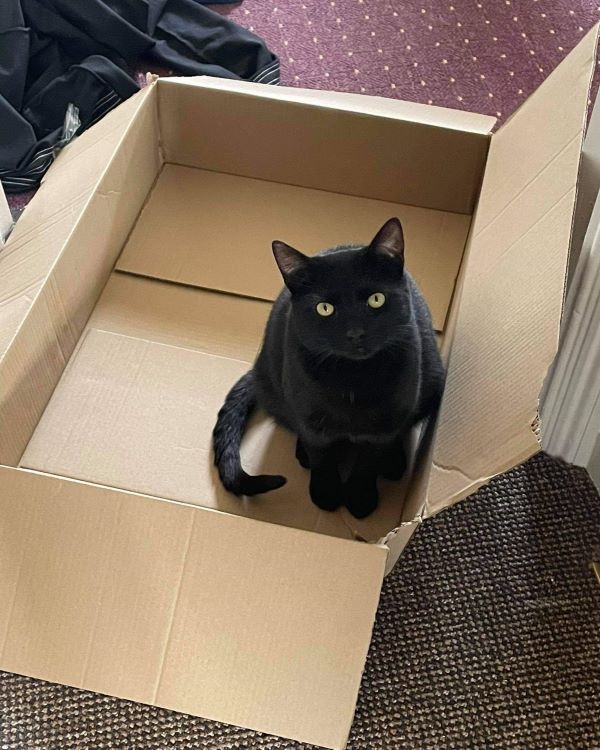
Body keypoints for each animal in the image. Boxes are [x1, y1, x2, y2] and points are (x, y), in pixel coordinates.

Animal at [212, 217, 445, 518]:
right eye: (324, 308)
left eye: (376, 299)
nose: (355, 332)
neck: (352, 379)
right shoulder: (312, 422)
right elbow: (322, 458)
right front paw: (325, 493)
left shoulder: (384, 427)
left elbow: (368, 462)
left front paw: (360, 498)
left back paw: (394, 463)